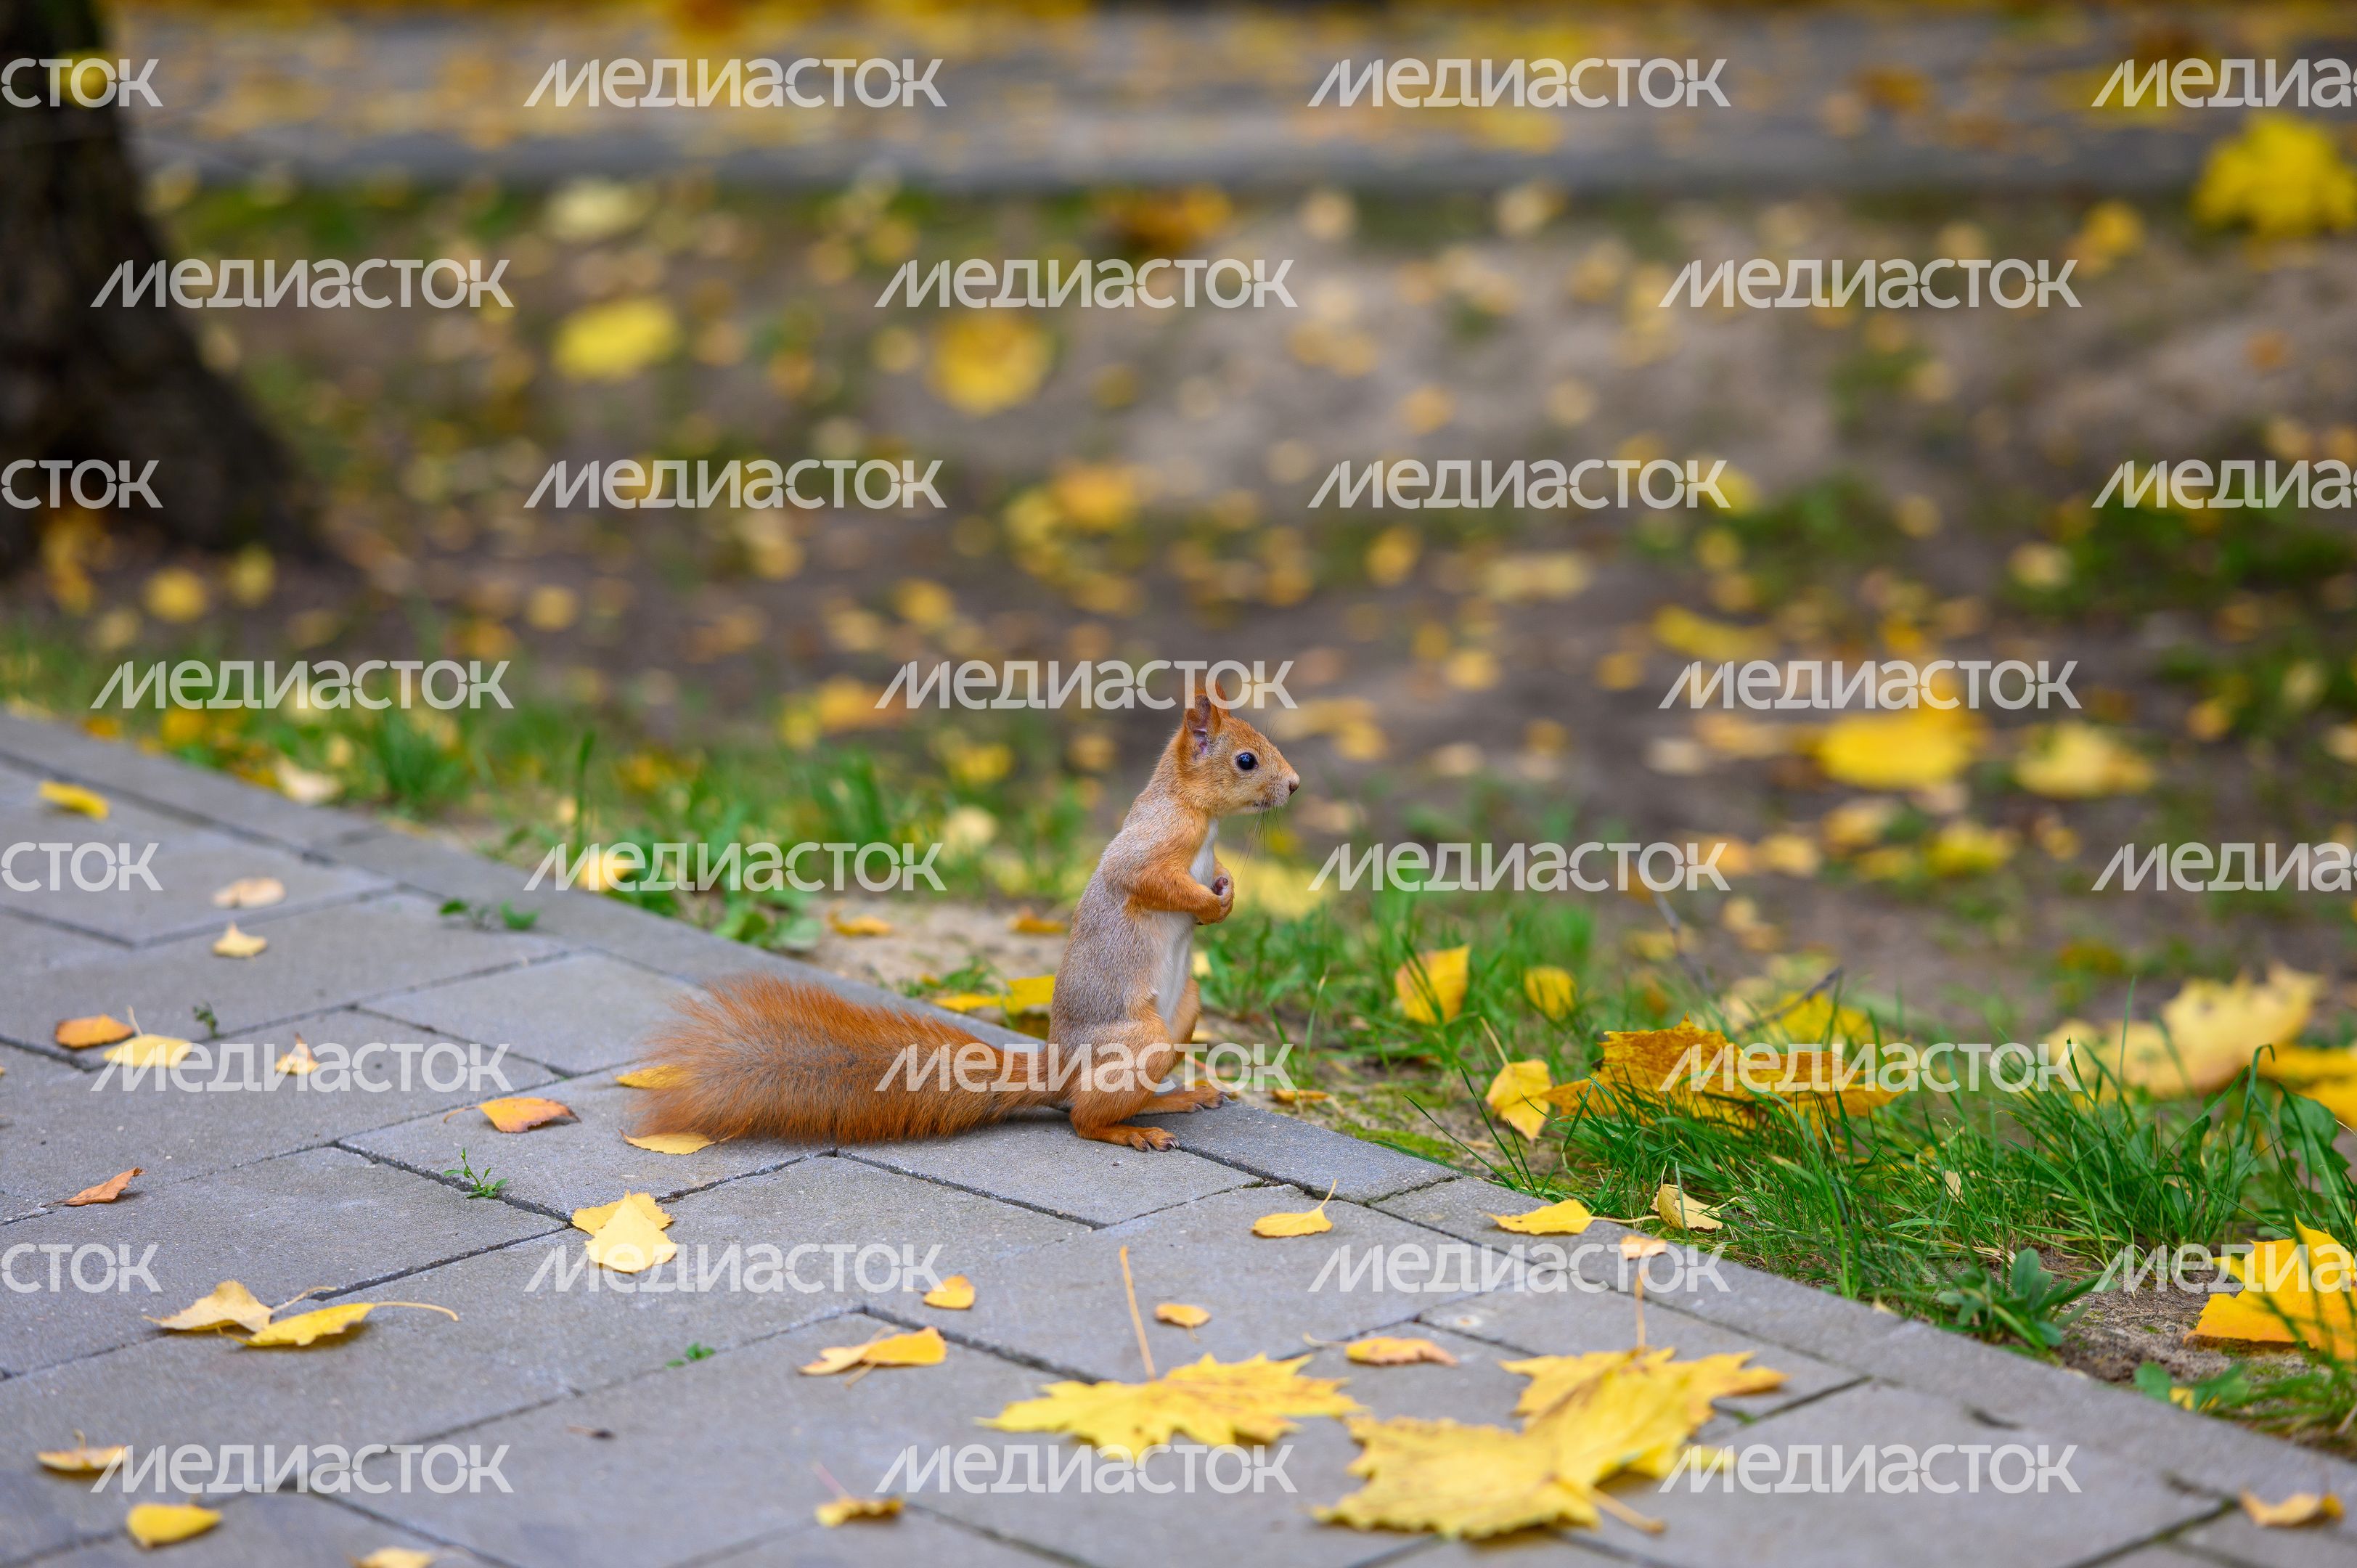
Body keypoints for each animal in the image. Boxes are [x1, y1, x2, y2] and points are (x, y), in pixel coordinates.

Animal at [630, 692, 1299, 1151]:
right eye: (1246, 760)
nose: (1293, 785)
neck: (1199, 818)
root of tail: (1062, 1067)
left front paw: (1227, 894)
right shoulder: (1148, 850)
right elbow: (1150, 882)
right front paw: (1210, 904)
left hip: (1184, 1009)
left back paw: (1176, 1098)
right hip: (1141, 1039)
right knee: (1083, 1117)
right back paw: (1130, 1131)